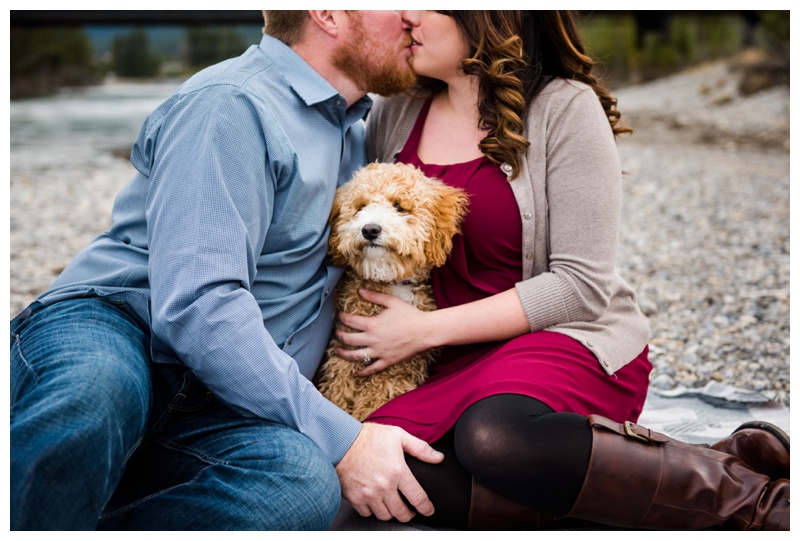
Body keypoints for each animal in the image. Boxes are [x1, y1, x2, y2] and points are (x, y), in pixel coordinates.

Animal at [318, 162, 468, 420]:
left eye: (398, 206)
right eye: (360, 207)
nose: (370, 229)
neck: (392, 282)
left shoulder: (395, 371)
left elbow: (375, 398)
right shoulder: (343, 356)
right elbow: (338, 393)